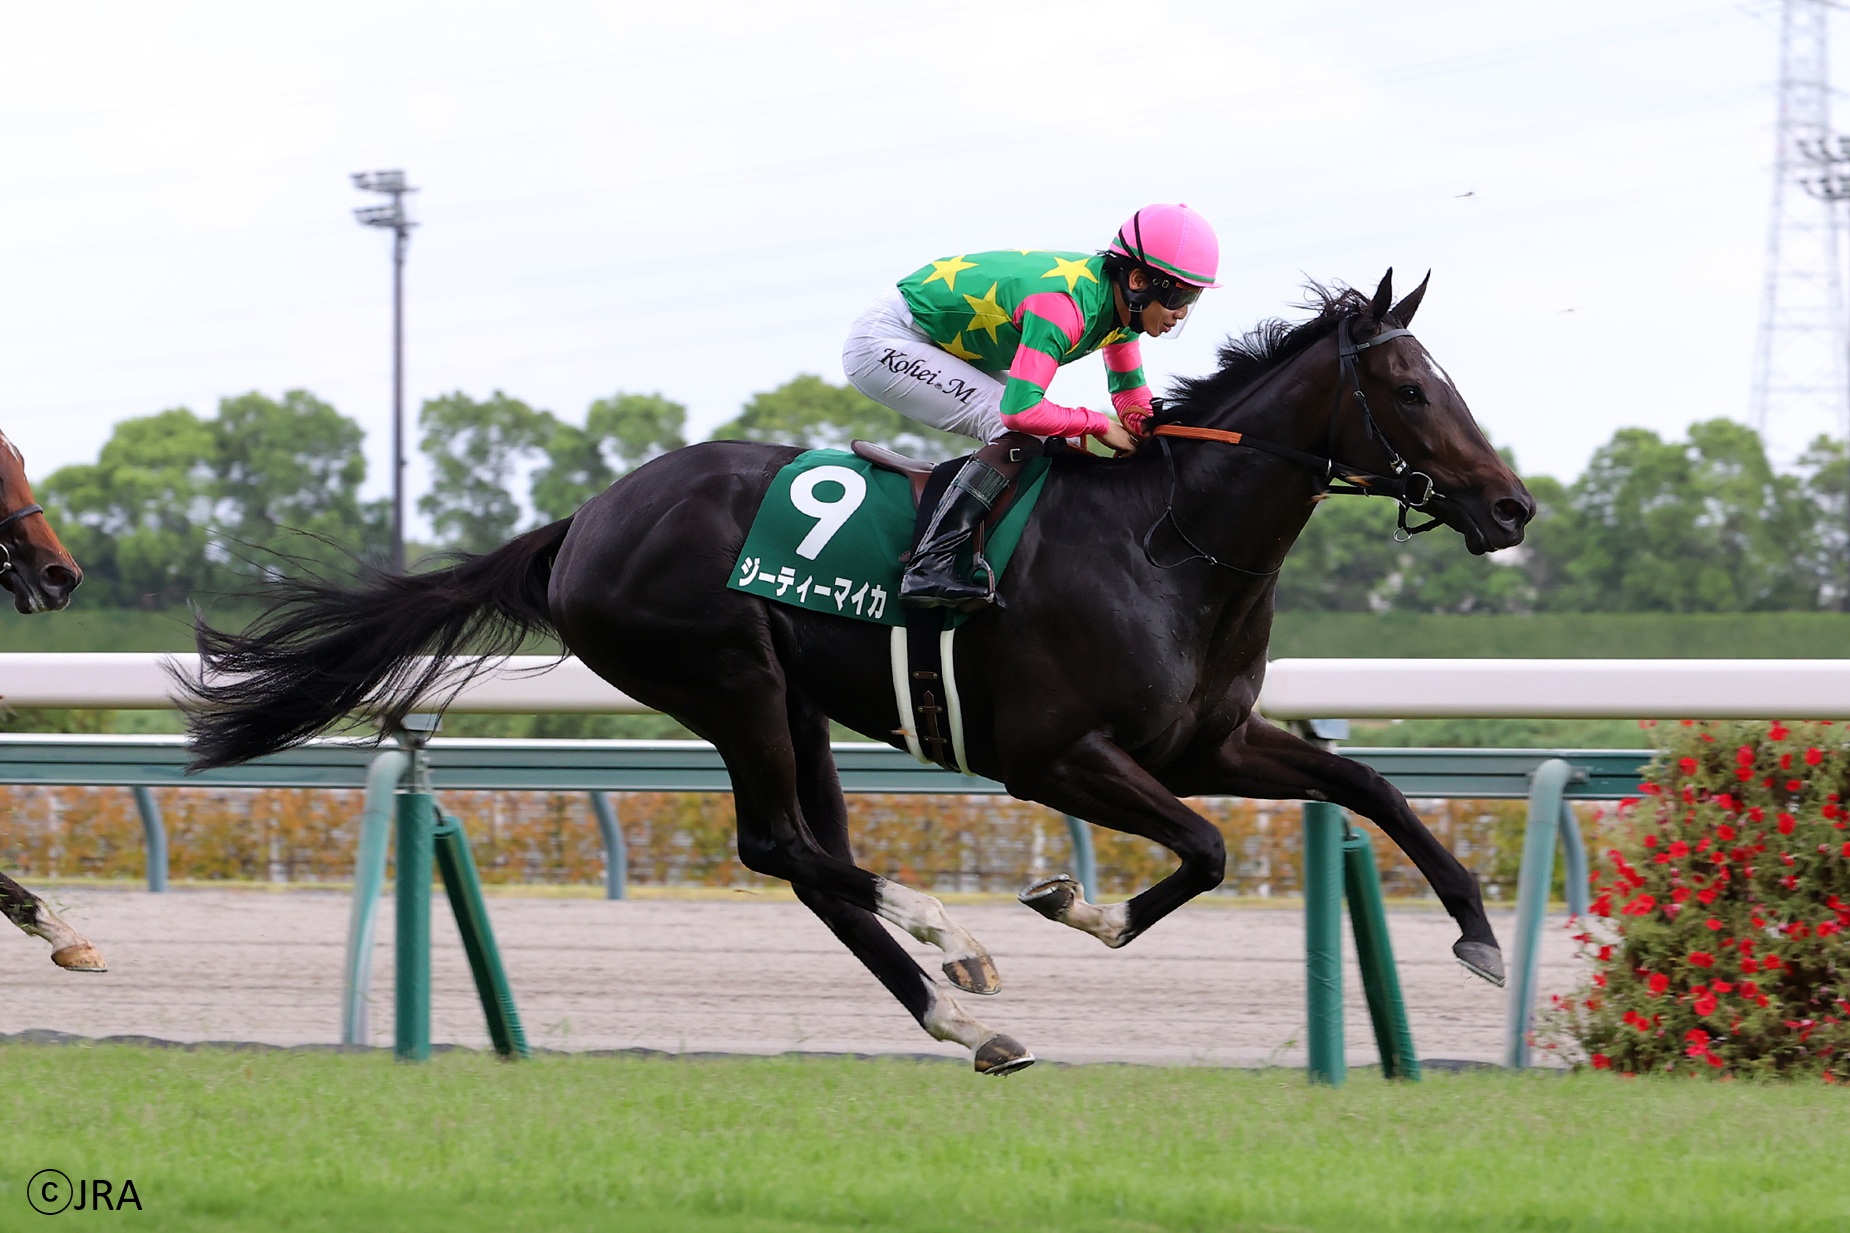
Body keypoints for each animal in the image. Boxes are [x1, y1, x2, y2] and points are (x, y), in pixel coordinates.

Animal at [180, 271, 1533, 1073]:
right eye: (1409, 386)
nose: (1510, 506)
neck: (1163, 539)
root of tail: (583, 522)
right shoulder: (1054, 758)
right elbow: (1199, 852)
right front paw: (1070, 906)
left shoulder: (1202, 742)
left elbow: (1368, 786)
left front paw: (1476, 933)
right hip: (726, 679)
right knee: (779, 844)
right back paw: (951, 941)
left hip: (795, 703)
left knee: (808, 861)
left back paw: (963, 1016)